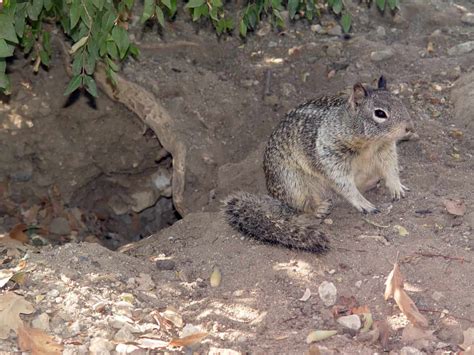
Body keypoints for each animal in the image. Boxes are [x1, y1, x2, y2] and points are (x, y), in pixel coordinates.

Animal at [224, 76, 412, 253]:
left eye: (401, 103)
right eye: (380, 113)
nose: (409, 127)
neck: (370, 144)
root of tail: (277, 199)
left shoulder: (386, 151)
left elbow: (391, 169)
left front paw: (397, 187)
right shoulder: (331, 157)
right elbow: (344, 184)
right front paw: (363, 203)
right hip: (294, 184)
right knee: (303, 206)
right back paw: (320, 207)